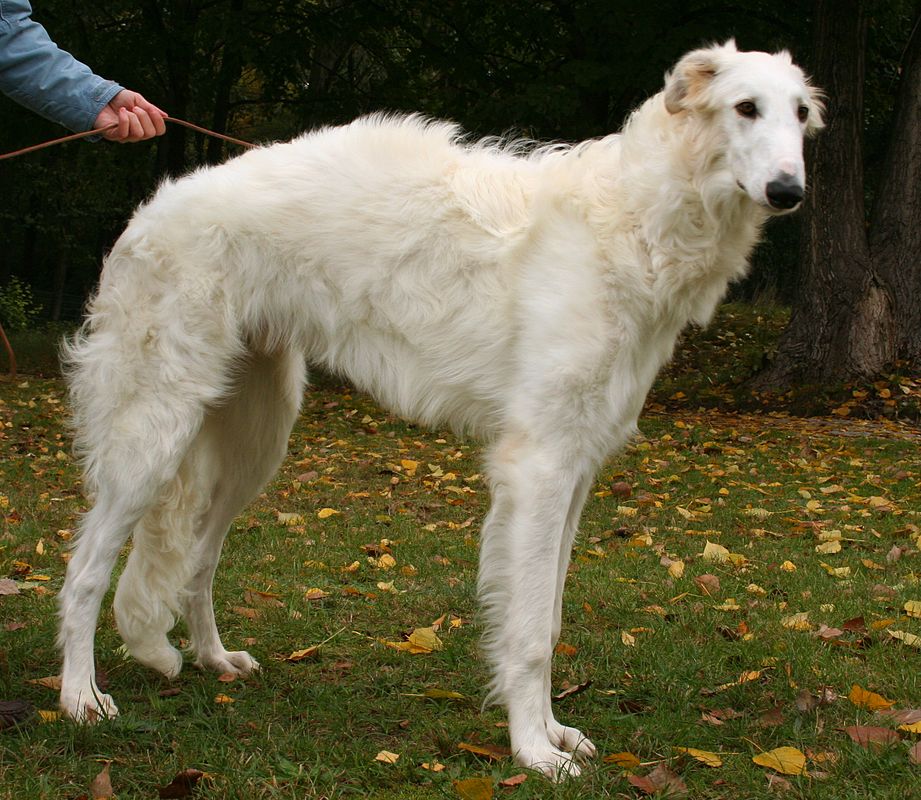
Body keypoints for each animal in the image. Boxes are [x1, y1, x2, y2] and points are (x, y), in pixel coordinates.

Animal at [55, 42, 820, 776]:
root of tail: (152, 211)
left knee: (198, 559)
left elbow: (546, 620)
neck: (630, 221)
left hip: (256, 437)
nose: (789, 192)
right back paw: (80, 698)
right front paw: (533, 751)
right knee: (87, 566)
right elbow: (527, 633)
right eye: (744, 107)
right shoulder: (537, 464)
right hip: (153, 430)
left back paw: (214, 659)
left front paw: (554, 734)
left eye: (801, 115)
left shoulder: (576, 464)